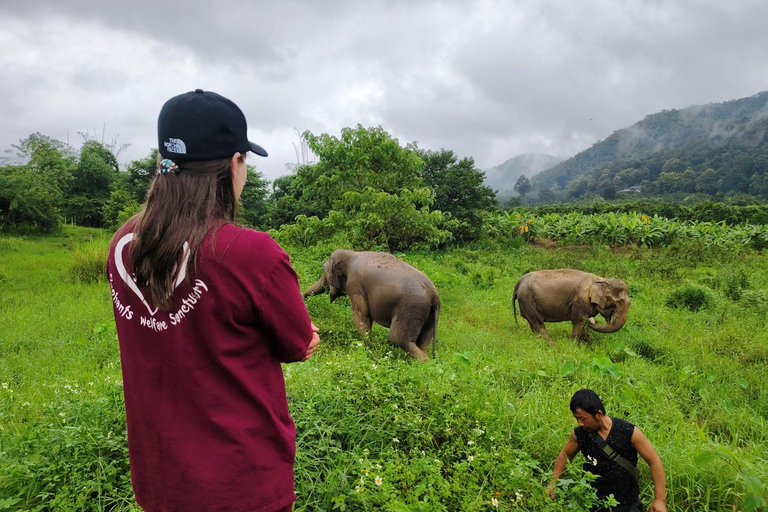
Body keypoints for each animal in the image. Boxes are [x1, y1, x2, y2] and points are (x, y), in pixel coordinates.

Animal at [304, 248, 440, 360]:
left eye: (323, 270)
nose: (304, 298)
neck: (351, 254)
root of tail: (434, 295)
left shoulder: (354, 285)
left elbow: (361, 315)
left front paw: (367, 350)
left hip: (411, 309)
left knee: (398, 338)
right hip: (429, 316)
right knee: (423, 342)